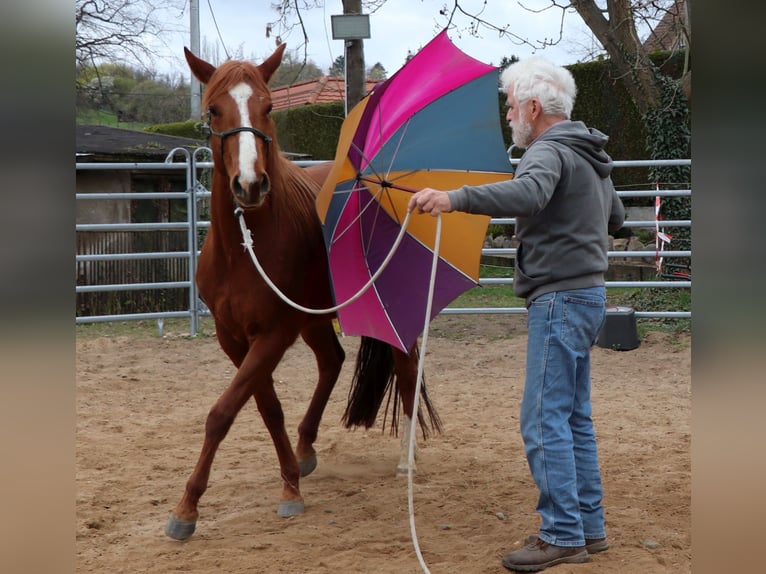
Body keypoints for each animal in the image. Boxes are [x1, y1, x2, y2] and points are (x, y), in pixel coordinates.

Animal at [165, 44, 441, 540]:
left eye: (269, 107)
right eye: (213, 110)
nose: (250, 185)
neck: (245, 246)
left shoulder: (273, 334)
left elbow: (223, 412)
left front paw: (189, 507)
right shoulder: (233, 338)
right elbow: (266, 406)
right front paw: (290, 479)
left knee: (407, 367)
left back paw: (406, 463)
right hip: (313, 318)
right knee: (332, 361)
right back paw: (307, 448)